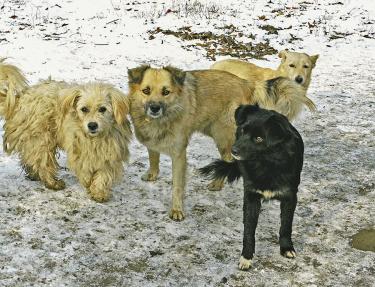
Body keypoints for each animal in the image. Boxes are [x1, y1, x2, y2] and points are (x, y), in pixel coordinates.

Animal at [0, 58, 132, 202]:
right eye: (84, 109)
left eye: (102, 109)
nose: (92, 125)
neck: (95, 139)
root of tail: (21, 98)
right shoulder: (78, 147)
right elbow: (84, 168)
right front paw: (88, 183)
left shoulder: (111, 151)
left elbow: (104, 173)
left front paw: (99, 191)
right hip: (42, 138)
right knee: (42, 161)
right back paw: (52, 182)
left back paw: (34, 174)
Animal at [128, 66, 306, 223]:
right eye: (146, 91)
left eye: (166, 92)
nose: (154, 108)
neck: (161, 120)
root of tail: (247, 84)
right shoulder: (151, 141)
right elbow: (153, 157)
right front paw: (152, 174)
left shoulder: (179, 155)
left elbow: (177, 186)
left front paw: (177, 210)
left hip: (223, 138)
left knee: (228, 159)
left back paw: (217, 183)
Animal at [201, 104, 304, 272]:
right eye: (243, 131)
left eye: (259, 138)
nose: (234, 151)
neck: (266, 163)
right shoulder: (251, 196)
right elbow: (249, 230)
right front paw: (246, 257)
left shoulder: (290, 196)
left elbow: (286, 225)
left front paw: (286, 247)